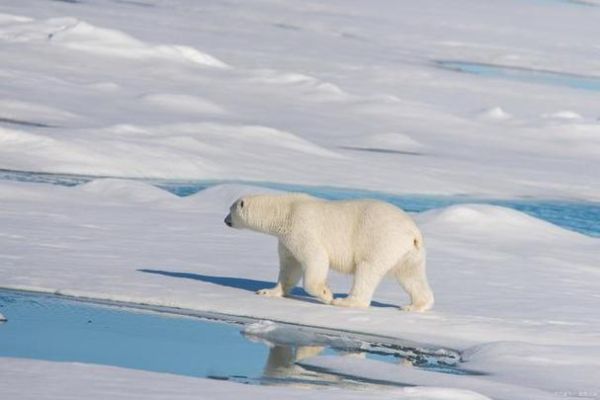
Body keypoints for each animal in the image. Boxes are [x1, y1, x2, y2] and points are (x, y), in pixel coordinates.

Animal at [223, 192, 434, 310]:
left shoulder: (302, 227)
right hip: (409, 253)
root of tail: (413, 232)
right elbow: (290, 266)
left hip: (381, 240)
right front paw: (268, 291)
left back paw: (345, 301)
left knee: (367, 270)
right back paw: (415, 306)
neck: (285, 211)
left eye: (230, 210)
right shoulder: (286, 239)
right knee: (411, 276)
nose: (225, 221)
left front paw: (326, 294)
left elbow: (315, 258)